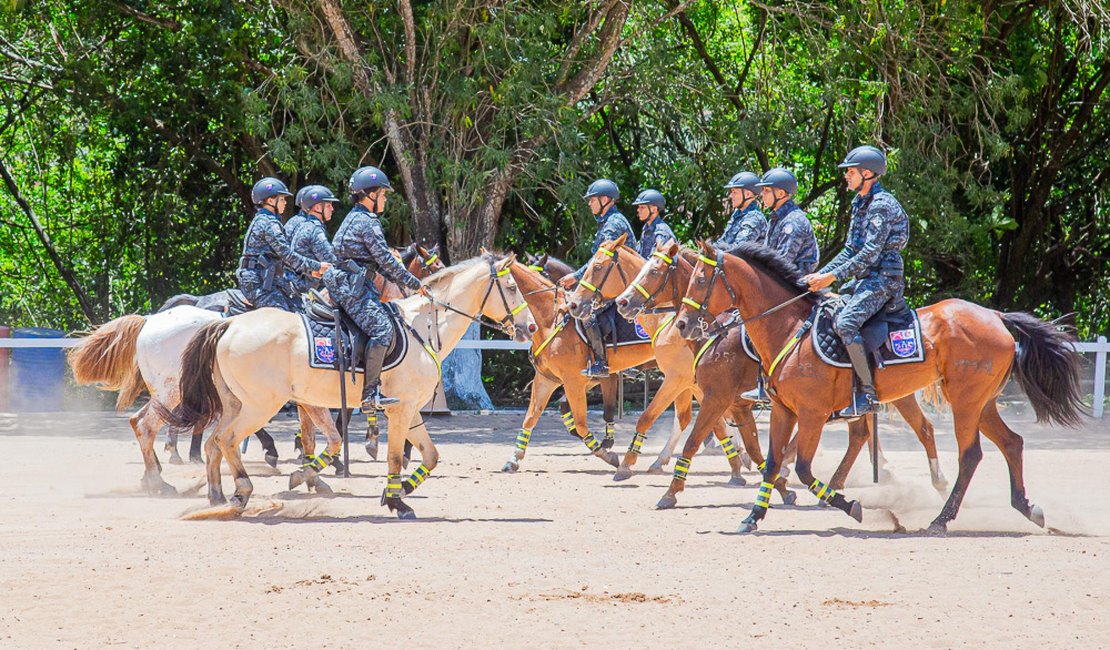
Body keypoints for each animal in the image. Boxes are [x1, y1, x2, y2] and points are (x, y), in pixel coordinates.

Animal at [67, 306, 288, 492]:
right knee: (147, 426)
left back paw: (152, 475)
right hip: (171, 391)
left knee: (139, 421)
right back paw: (159, 483)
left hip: (167, 394)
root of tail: (149, 320)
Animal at [158, 251, 535, 516]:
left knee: (214, 443)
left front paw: (399, 491)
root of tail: (229, 324)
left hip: (236, 404)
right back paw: (241, 491)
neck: (423, 327)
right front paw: (398, 502)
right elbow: (393, 456)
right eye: (512, 288)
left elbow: (430, 456)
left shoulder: (411, 410)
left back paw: (217, 495)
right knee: (226, 440)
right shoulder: (398, 411)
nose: (530, 328)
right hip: (260, 406)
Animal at [612, 235, 950, 508]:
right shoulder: (732, 401)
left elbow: (694, 438)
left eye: (654, 271)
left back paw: (934, 481)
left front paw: (667, 489)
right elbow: (752, 446)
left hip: (890, 394)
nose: (623, 302)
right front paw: (777, 484)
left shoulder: (716, 394)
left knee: (919, 429)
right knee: (865, 434)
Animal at [670, 241, 1078, 532]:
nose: (684, 325)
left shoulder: (811, 415)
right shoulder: (784, 411)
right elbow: (771, 464)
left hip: (964, 403)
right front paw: (752, 517)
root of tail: (994, 315)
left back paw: (941, 519)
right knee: (1012, 443)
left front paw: (849, 505)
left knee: (970, 455)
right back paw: (1027, 508)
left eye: (702, 280)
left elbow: (801, 468)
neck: (790, 328)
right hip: (983, 404)